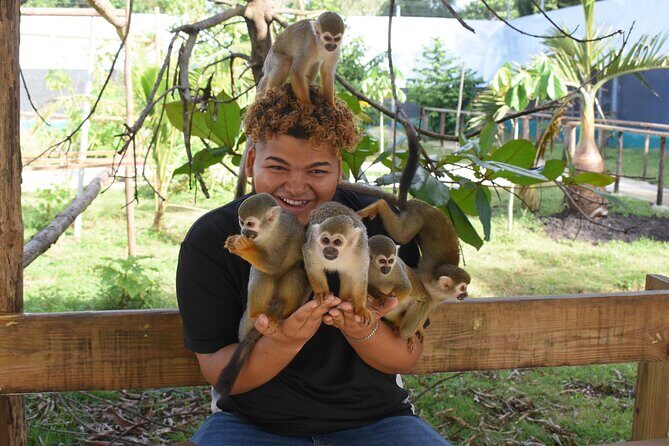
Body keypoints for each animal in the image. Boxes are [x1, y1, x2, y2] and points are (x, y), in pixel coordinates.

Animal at [215, 193, 310, 399]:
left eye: (250, 224)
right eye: (241, 222)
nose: (244, 232)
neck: (270, 232)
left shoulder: (287, 232)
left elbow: (273, 264)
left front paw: (242, 247)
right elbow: (266, 269)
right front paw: (234, 242)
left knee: (293, 272)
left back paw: (285, 314)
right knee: (262, 273)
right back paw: (258, 313)